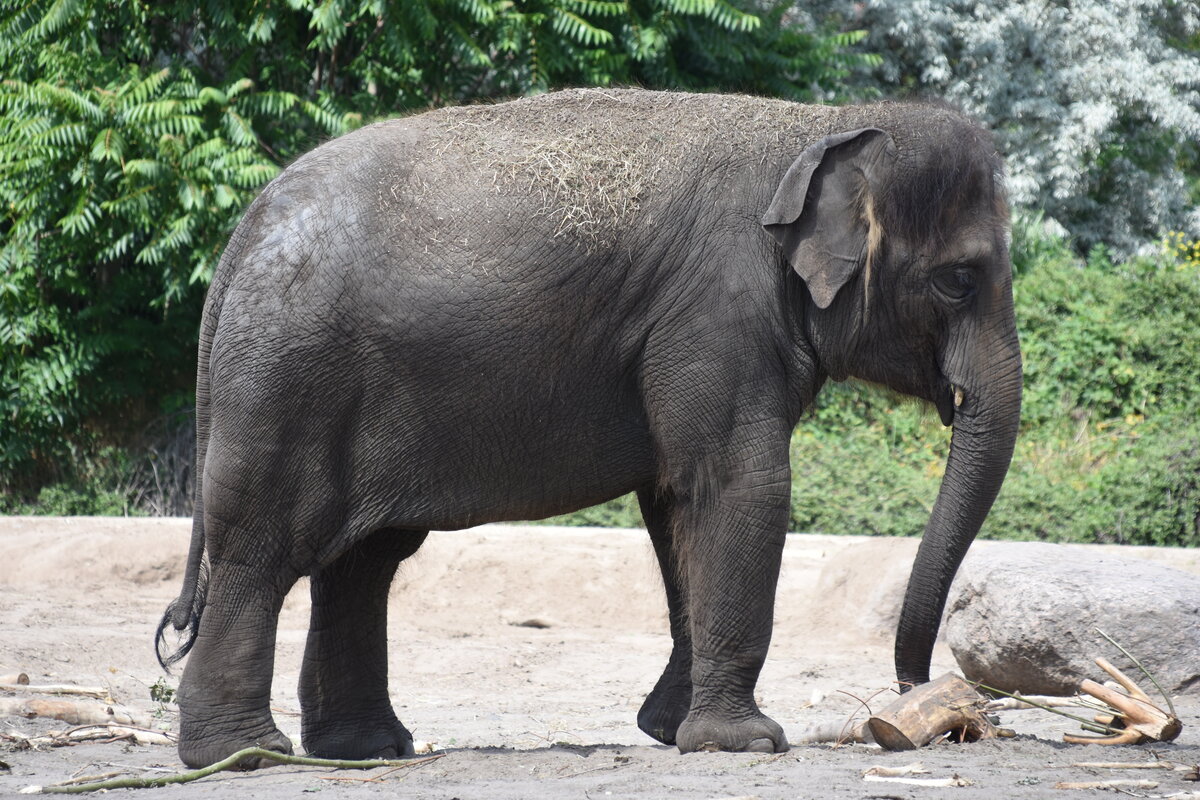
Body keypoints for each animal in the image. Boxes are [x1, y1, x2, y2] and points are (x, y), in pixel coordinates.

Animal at [157, 87, 1022, 767]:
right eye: (958, 280)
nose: (915, 701)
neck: (819, 125)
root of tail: (240, 238)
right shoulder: (718, 312)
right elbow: (738, 483)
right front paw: (744, 744)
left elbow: (675, 501)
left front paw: (670, 731)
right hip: (288, 379)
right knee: (264, 551)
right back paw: (245, 756)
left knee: (362, 563)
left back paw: (366, 751)